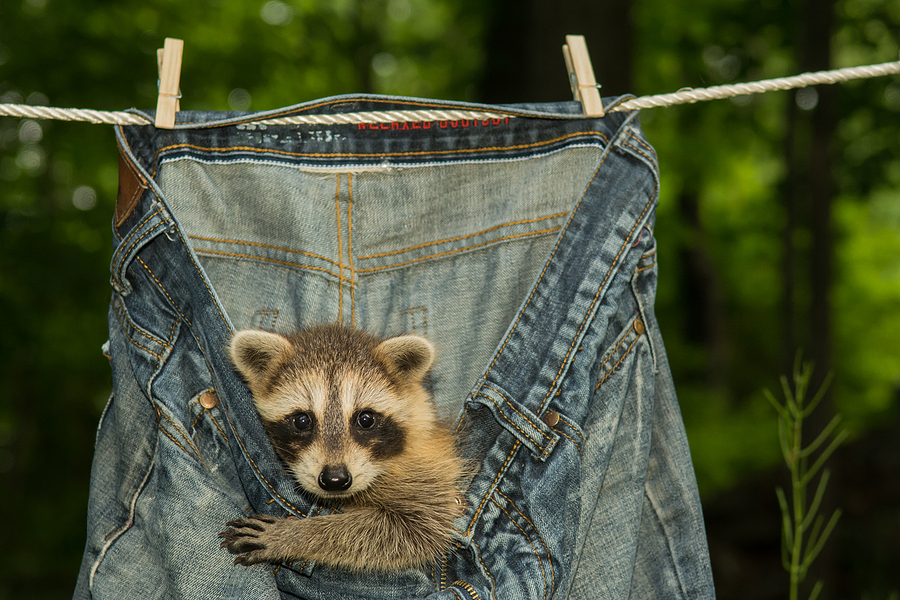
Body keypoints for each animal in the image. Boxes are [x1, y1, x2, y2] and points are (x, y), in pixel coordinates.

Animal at [219, 323, 466, 572]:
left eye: (365, 419)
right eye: (302, 420)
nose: (335, 480)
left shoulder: (427, 471)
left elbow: (415, 528)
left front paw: (297, 534)